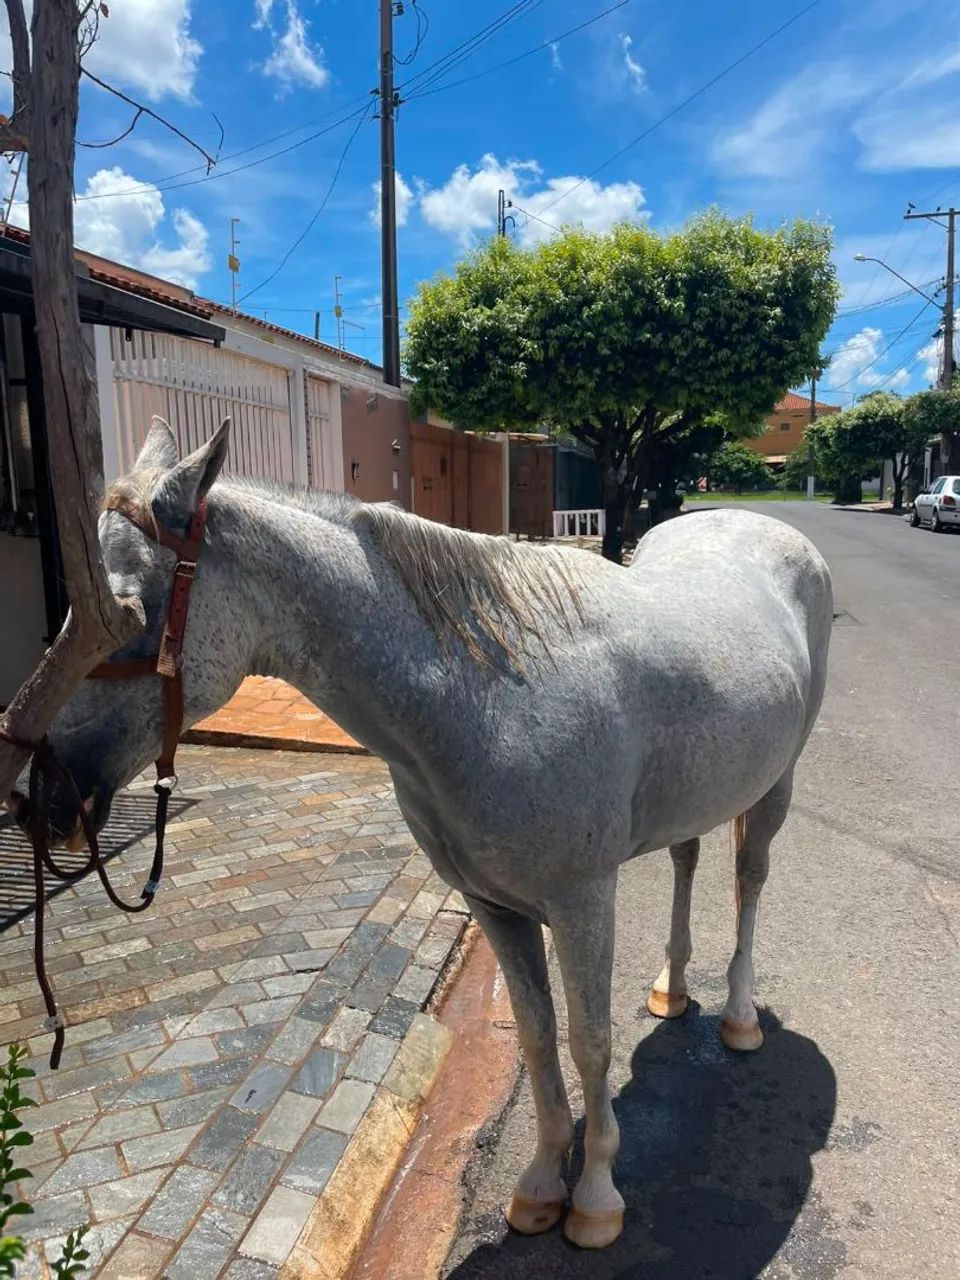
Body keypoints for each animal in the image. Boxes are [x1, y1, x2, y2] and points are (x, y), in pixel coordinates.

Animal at [20, 417, 832, 1249]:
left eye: (127, 615)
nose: (38, 799)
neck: (487, 695)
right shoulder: (494, 908)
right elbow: (537, 1035)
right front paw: (542, 1183)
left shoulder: (582, 904)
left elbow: (589, 1040)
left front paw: (596, 1197)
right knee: (687, 858)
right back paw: (671, 988)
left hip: (778, 786)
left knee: (749, 882)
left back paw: (739, 1017)